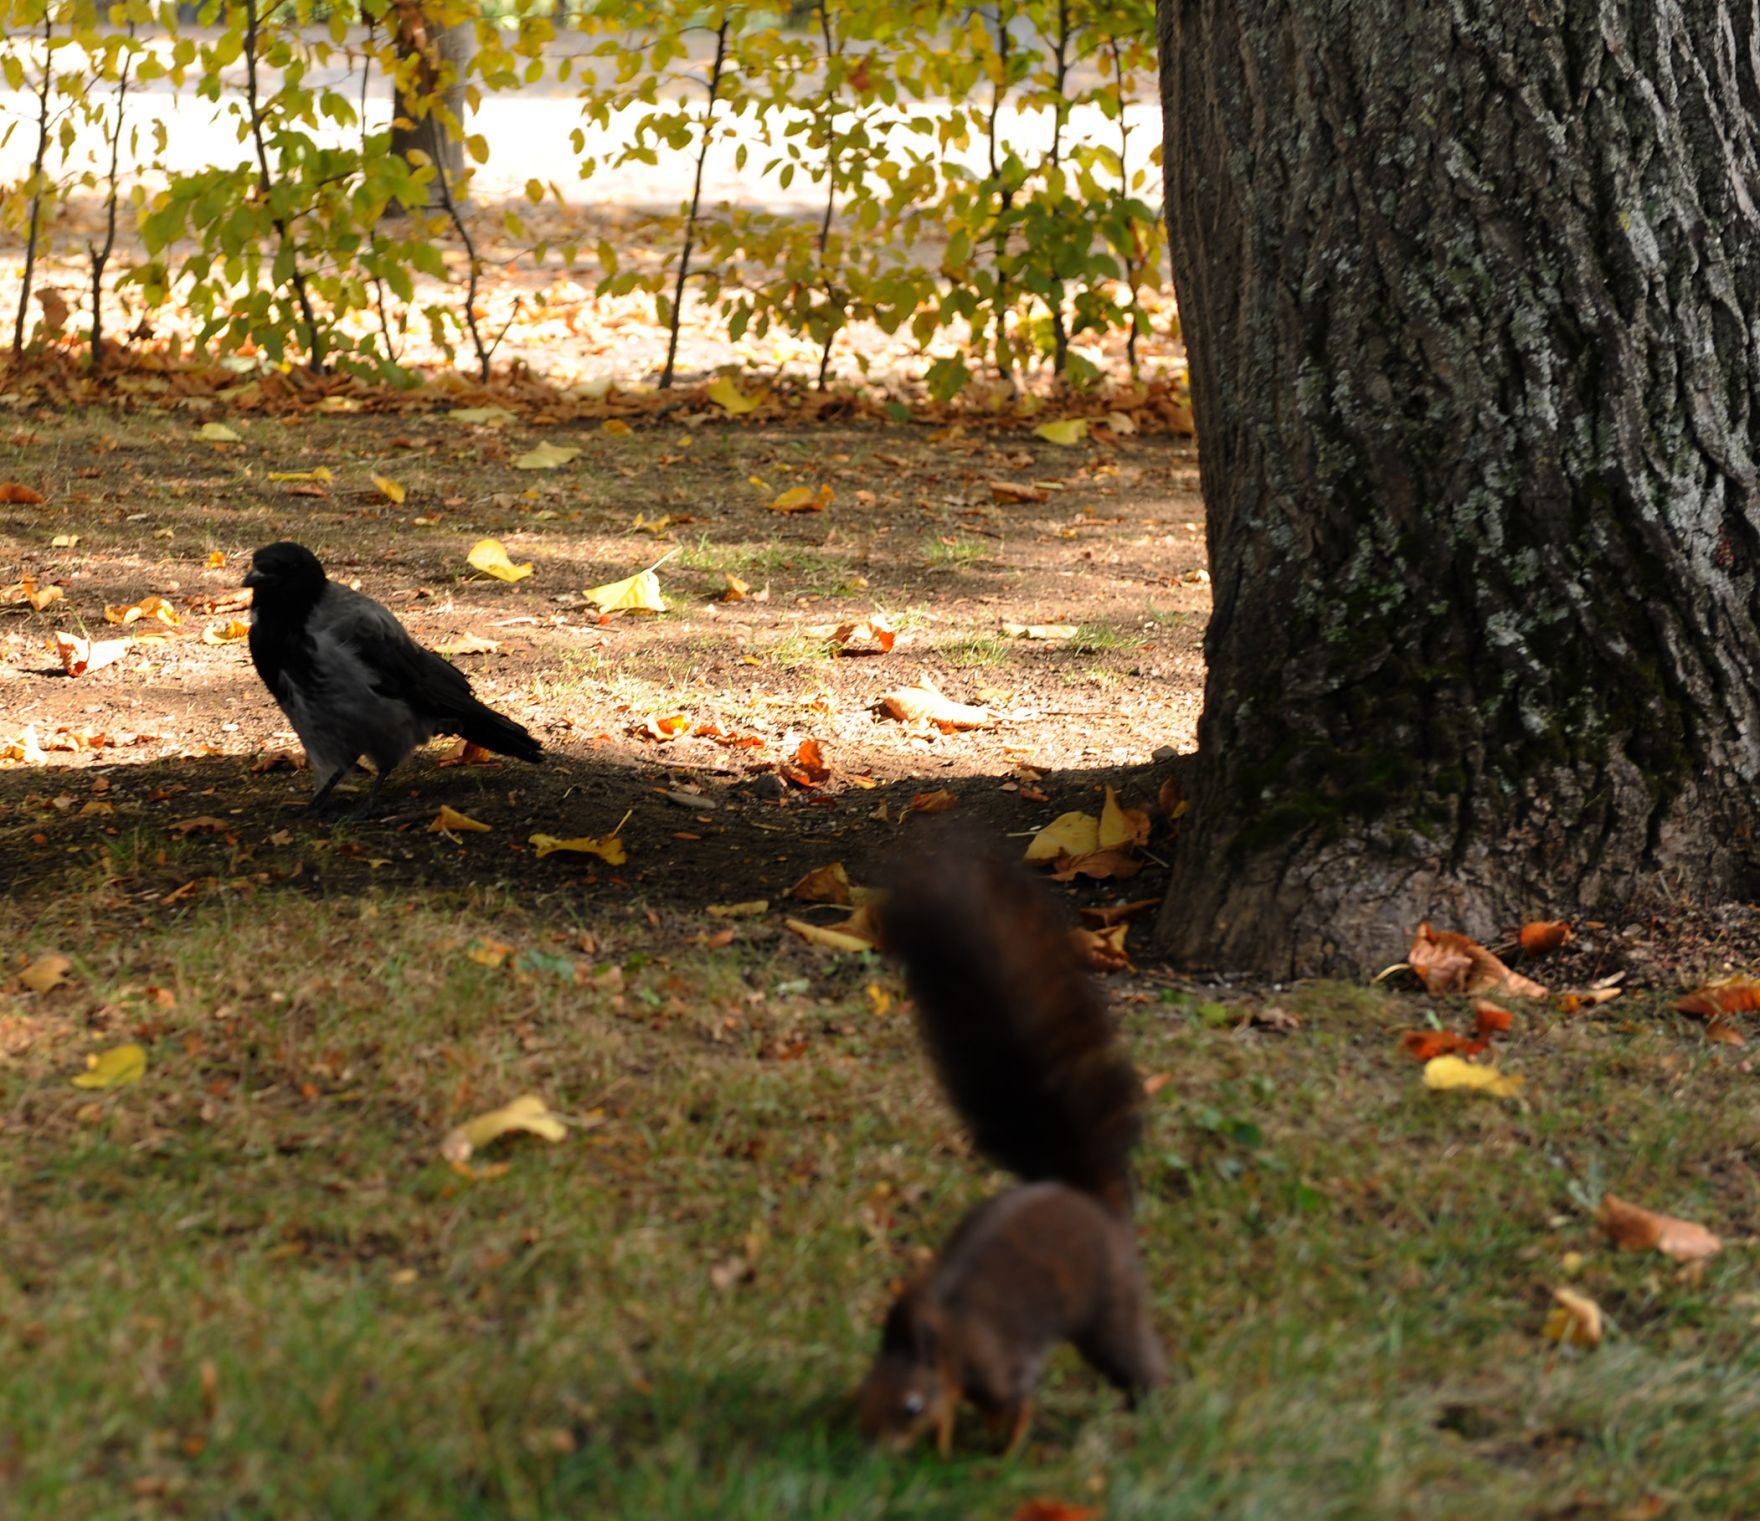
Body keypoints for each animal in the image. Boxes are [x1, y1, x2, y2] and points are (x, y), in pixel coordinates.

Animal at [855, 848, 1168, 1457]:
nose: (871, 1449)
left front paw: (1000, 1454)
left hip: (1110, 1305)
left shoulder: (1001, 1362)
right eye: (863, 1392)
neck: (949, 1336)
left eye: (910, 1405)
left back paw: (1157, 1408)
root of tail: (1091, 1200)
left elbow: (1012, 1406)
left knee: (1134, 1356)